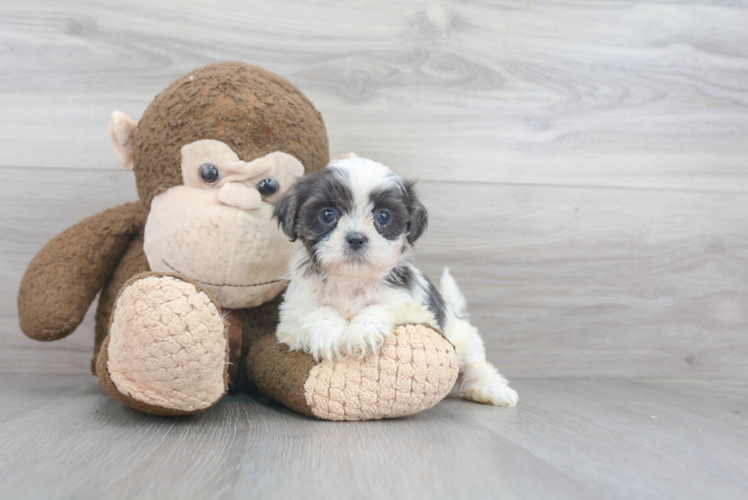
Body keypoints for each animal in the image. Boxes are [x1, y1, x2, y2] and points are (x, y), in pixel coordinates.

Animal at [274, 156, 520, 406]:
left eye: (383, 216)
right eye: (327, 215)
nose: (355, 238)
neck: (351, 282)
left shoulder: (414, 308)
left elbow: (383, 306)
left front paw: (363, 331)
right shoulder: (291, 316)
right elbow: (313, 313)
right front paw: (330, 334)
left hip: (463, 338)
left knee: (474, 365)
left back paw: (490, 388)